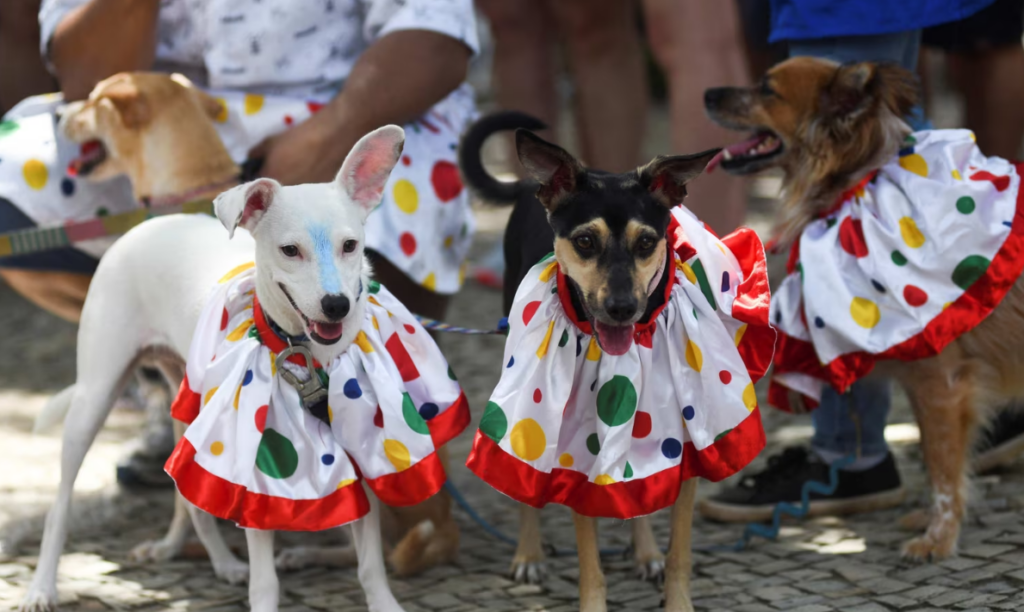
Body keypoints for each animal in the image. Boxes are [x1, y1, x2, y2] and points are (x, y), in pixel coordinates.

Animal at [18, 125, 407, 612]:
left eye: (350, 245)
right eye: (290, 250)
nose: (336, 305)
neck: (305, 356)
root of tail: (146, 225)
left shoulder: (359, 450)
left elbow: (370, 563)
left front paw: (385, 603)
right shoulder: (258, 465)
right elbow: (266, 581)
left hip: (190, 408)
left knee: (190, 501)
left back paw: (212, 560)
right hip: (94, 398)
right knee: (60, 506)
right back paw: (42, 587)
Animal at [460, 112, 716, 609]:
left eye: (646, 243)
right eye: (584, 241)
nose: (620, 307)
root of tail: (532, 184)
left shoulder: (683, 439)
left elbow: (679, 551)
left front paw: (672, 588)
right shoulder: (576, 445)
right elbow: (590, 563)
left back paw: (645, 553)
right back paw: (529, 554)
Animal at [704, 57, 1024, 560]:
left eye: (767, 89)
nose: (708, 94)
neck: (858, 184)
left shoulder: (943, 385)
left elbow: (944, 469)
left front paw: (938, 539)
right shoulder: (920, 383)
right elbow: (934, 461)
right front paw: (929, 522)